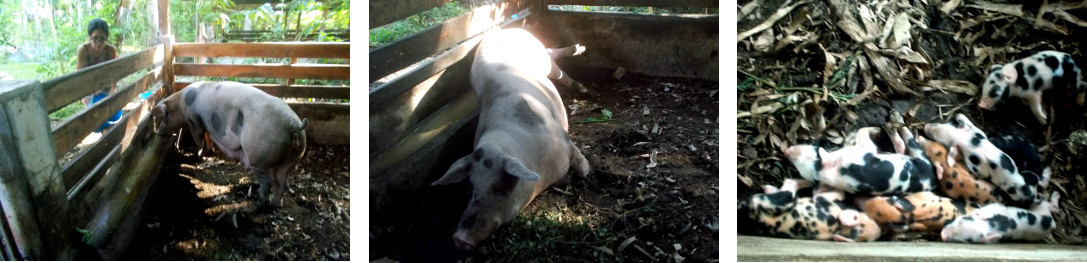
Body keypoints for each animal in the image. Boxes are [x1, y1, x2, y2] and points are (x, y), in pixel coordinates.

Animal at [152, 80, 306, 206]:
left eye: (164, 117)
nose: (158, 132)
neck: (181, 104)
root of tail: (295, 126)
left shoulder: (195, 122)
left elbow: (199, 139)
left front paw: (197, 156)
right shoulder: (207, 125)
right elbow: (208, 137)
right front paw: (210, 151)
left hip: (259, 158)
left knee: (268, 183)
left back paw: (259, 203)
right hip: (291, 161)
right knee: (282, 183)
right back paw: (276, 205)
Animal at [428, 28, 591, 251]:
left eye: (501, 185)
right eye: (470, 186)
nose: (460, 238)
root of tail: (504, 29)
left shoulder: (564, 140)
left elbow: (582, 167)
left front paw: (585, 172)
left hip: (542, 57)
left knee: (556, 65)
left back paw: (582, 80)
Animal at [739, 178, 882, 242]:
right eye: (868, 216)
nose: (880, 231)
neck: (838, 227)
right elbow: (839, 193)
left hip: (783, 199)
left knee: (789, 183)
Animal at [786, 126, 939, 196]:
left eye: (814, 150)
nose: (786, 152)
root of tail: (932, 181)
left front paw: (849, 137)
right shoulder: (863, 150)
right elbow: (862, 133)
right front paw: (874, 130)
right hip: (921, 158)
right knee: (907, 143)